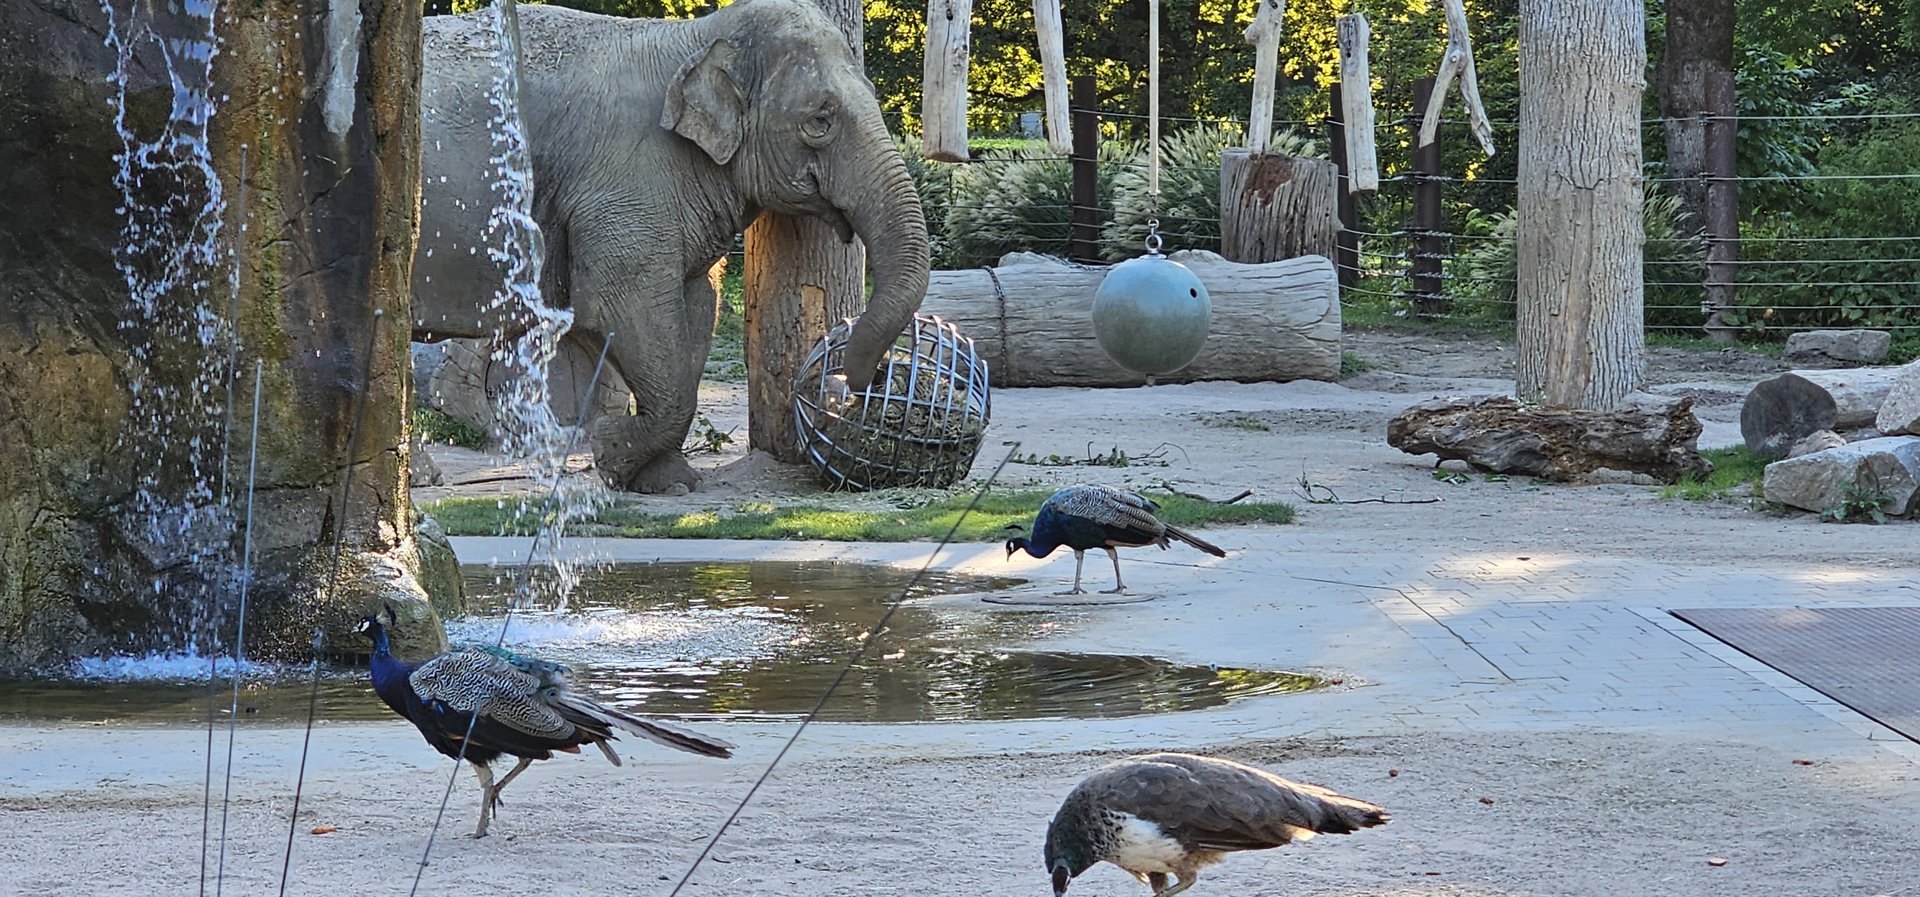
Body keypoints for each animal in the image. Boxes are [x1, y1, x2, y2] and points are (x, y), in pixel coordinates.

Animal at [410, 0, 930, 493]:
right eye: (820, 120)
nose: (852, 386)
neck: (695, 37)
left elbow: (697, 308)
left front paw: (669, 482)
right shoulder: (621, 188)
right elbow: (622, 311)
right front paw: (610, 448)